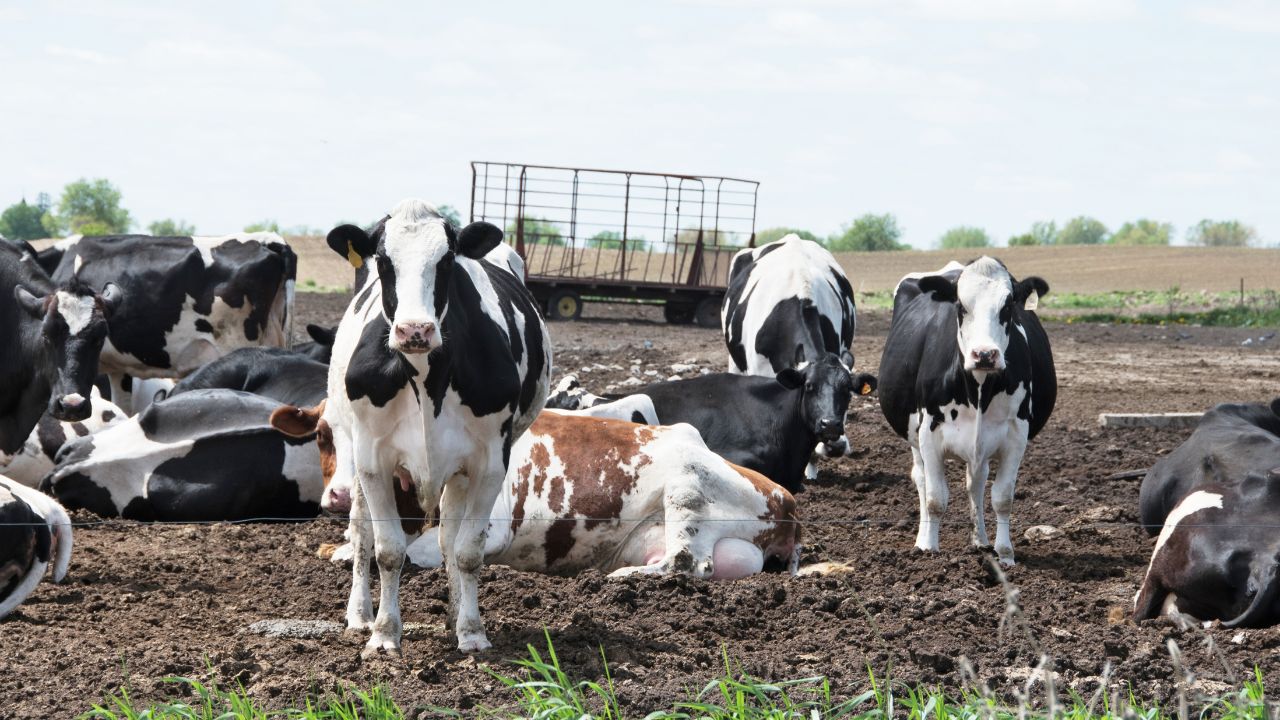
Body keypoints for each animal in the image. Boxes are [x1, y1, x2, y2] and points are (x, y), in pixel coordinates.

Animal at [272, 409, 802, 578]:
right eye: (322, 435)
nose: (340, 496)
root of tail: (787, 499)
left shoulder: (491, 524)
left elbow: (426, 551)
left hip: (686, 485)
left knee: (686, 563)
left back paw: (616, 579)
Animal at [315, 199, 550, 655]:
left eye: (446, 260)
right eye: (383, 261)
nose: (415, 330)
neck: (425, 376)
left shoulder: (489, 461)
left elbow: (468, 551)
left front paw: (471, 630)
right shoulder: (373, 459)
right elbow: (387, 550)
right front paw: (384, 634)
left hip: (458, 470)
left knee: (448, 539)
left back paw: (454, 614)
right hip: (355, 453)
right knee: (360, 531)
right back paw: (359, 614)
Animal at [878, 257, 1055, 566]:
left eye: (1008, 306)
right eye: (960, 306)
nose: (984, 354)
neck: (979, 390)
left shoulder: (1016, 434)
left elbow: (1002, 497)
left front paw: (1004, 554)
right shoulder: (929, 432)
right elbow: (935, 498)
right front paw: (930, 550)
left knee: (976, 482)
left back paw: (980, 541)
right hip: (914, 437)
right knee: (921, 480)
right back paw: (922, 540)